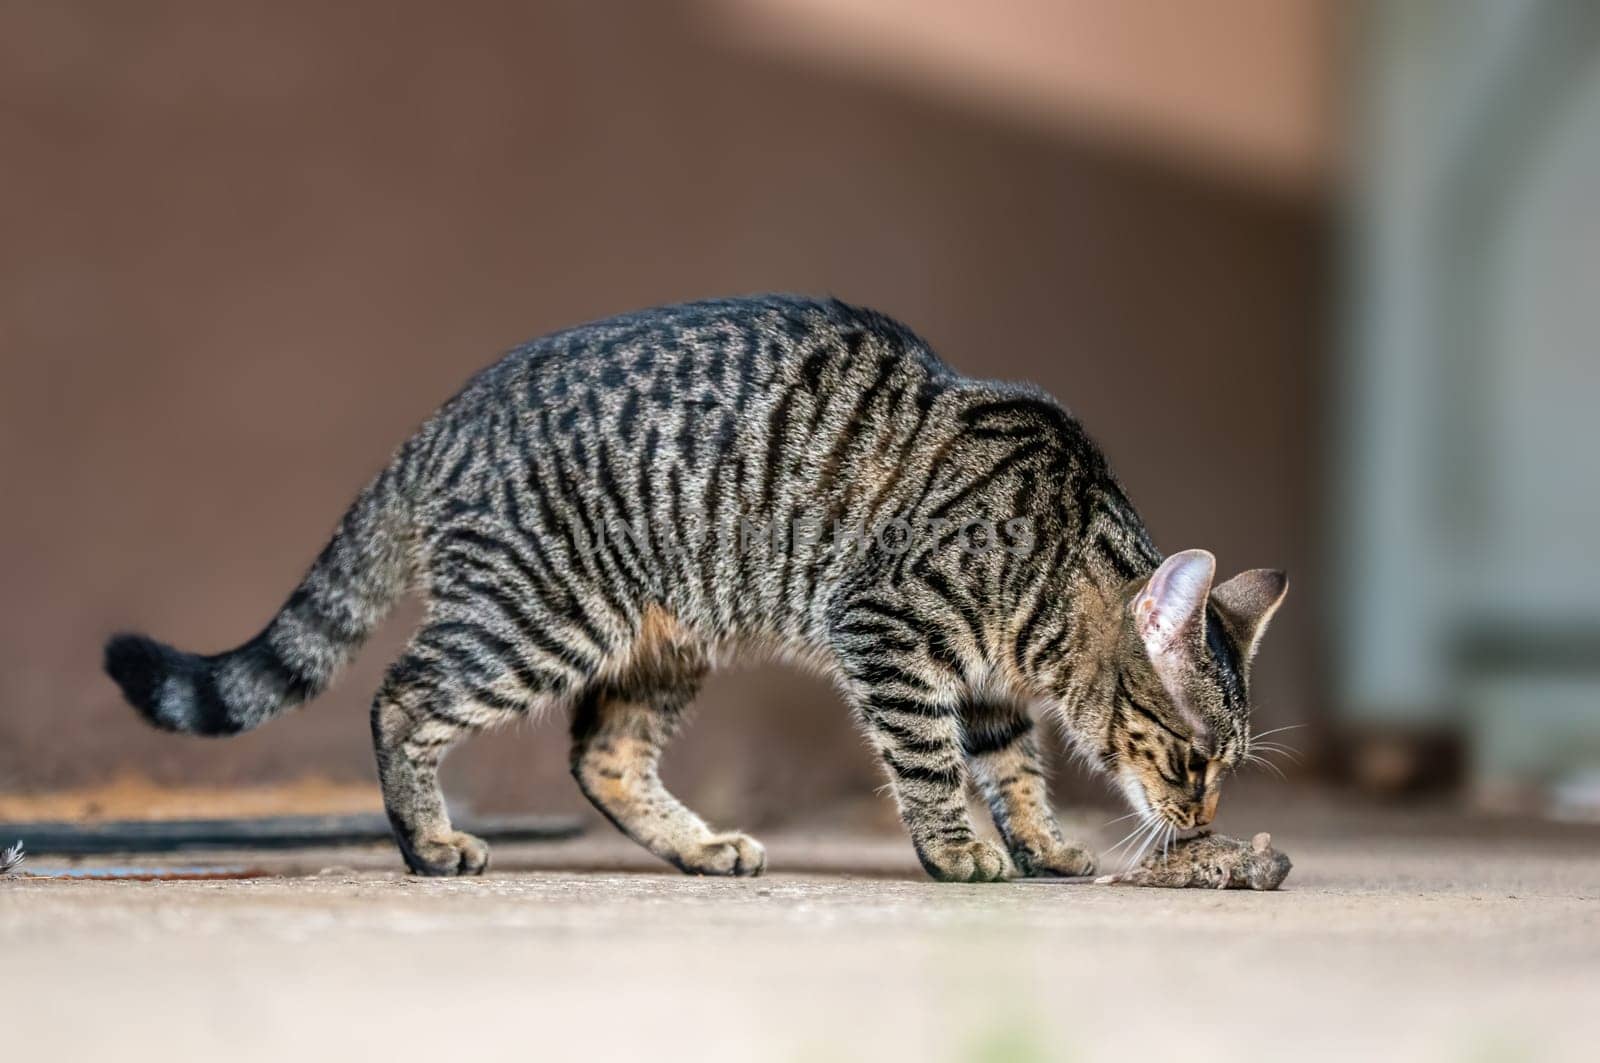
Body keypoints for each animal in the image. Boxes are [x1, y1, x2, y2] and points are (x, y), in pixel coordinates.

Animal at [106, 296, 1286, 877]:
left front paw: (1040, 842)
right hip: (543, 616)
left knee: (602, 757)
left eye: (1226, 768)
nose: (1202, 816)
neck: (1049, 571)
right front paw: (960, 851)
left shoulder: (989, 687)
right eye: (1191, 758)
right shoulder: (890, 632)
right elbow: (932, 764)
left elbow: (1017, 769)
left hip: (659, 642)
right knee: (401, 696)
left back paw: (700, 845)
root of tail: (449, 413)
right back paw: (428, 840)